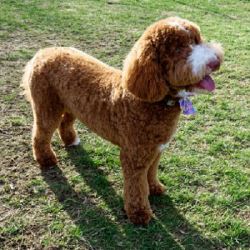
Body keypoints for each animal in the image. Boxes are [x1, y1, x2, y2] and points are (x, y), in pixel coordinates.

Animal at [21, 17, 224, 225]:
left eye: (197, 40)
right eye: (178, 49)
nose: (215, 62)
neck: (151, 100)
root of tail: (43, 52)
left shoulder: (156, 149)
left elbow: (151, 172)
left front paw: (155, 188)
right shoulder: (134, 155)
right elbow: (136, 186)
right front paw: (139, 213)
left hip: (72, 104)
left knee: (65, 122)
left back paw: (71, 140)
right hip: (47, 105)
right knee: (41, 133)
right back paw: (46, 159)